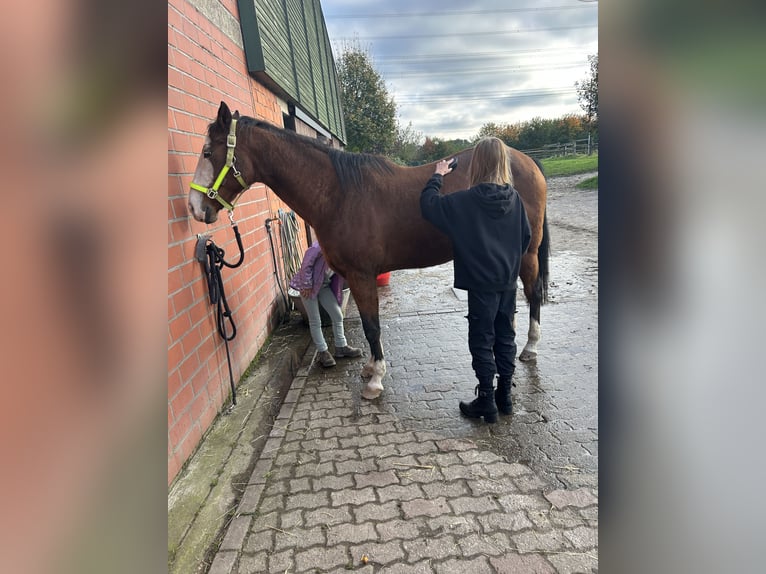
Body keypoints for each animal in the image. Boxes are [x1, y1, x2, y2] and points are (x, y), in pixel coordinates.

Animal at [188, 102, 548, 400]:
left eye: (207, 152)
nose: (194, 207)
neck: (339, 194)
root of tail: (525, 160)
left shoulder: (362, 275)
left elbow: (372, 325)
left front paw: (375, 380)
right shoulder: (353, 276)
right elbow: (363, 321)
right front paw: (370, 369)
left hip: (526, 254)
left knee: (532, 293)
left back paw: (530, 347)